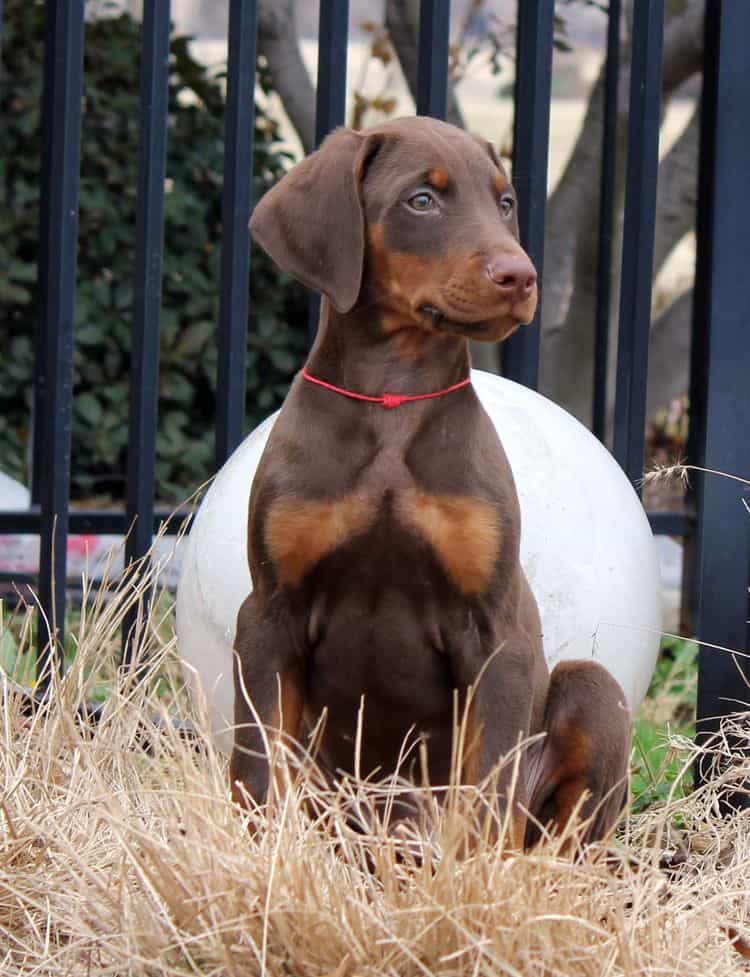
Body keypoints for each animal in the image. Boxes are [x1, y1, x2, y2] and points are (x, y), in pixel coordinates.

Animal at [232, 116, 632, 848]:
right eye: (422, 200)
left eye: (505, 202)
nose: (520, 276)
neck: (394, 398)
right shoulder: (269, 612)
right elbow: (256, 766)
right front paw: (256, 856)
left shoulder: (493, 630)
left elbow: (488, 789)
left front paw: (472, 875)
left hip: (592, 692)